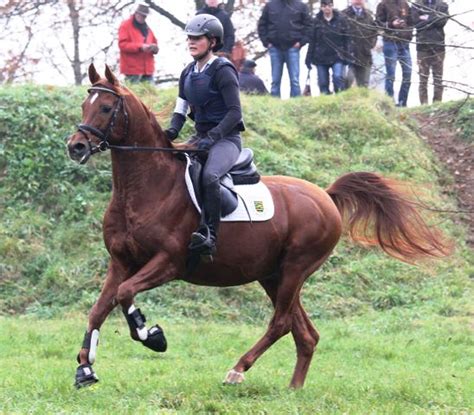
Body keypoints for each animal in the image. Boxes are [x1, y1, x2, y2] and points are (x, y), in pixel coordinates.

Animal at [67, 65, 452, 390]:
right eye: (85, 104)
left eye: (105, 108)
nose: (76, 146)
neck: (147, 187)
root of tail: (325, 196)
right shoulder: (121, 261)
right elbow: (100, 307)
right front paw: (85, 367)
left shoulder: (168, 262)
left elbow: (125, 294)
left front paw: (152, 335)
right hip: (272, 274)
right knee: (304, 332)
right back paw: (293, 389)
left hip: (296, 268)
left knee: (281, 323)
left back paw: (238, 369)